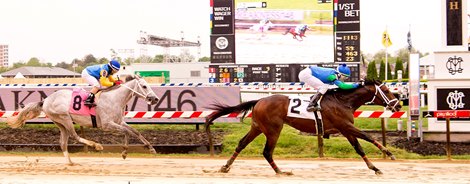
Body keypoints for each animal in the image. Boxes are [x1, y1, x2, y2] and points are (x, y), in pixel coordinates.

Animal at [6, 74, 160, 165]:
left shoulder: (119, 121)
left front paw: (151, 148)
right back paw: (96, 145)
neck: (114, 99)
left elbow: (135, 131)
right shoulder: (107, 124)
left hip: (59, 123)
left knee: (63, 142)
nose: (155, 99)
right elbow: (127, 132)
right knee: (74, 136)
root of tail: (45, 100)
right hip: (65, 118)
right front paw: (124, 152)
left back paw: (70, 162)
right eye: (144, 86)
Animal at [206, 79, 400, 175]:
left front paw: (374, 168)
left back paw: (225, 167)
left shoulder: (346, 129)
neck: (343, 101)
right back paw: (281, 171)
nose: (397, 106)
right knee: (267, 151)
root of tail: (259, 100)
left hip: (257, 127)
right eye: (386, 91)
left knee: (241, 144)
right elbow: (368, 137)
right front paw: (389, 153)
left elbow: (359, 148)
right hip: (273, 129)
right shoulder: (345, 126)